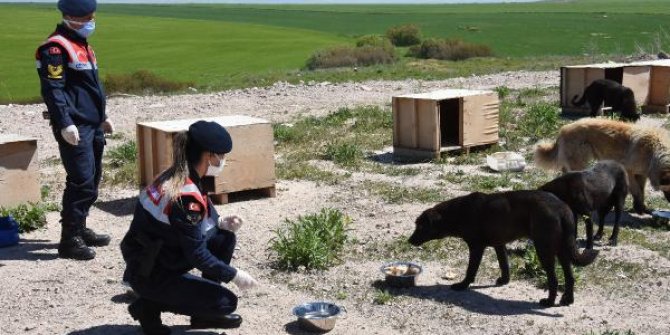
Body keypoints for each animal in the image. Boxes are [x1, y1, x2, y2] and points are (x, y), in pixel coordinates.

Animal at [410, 190, 600, 308]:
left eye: (420, 226)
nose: (409, 240)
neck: (457, 213)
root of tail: (562, 208)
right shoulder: (499, 244)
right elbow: (504, 265)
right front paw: (504, 281)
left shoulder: (476, 247)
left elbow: (471, 270)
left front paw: (462, 285)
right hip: (562, 249)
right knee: (570, 277)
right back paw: (567, 300)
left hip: (544, 249)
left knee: (553, 280)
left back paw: (548, 302)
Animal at [540, 118, 670, 214]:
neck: (654, 150)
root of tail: (563, 129)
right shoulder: (629, 170)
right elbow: (637, 190)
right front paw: (640, 208)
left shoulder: (641, 174)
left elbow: (641, 191)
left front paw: (640, 207)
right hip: (580, 163)